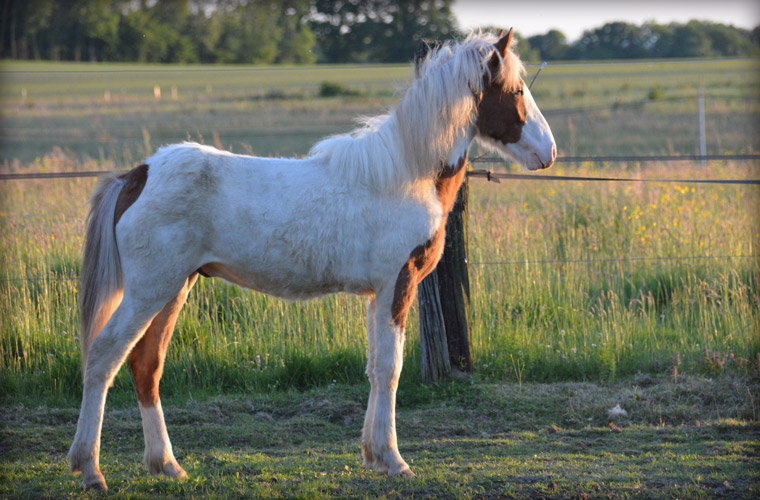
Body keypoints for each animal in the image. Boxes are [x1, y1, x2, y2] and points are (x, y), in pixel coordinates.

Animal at [68, 28, 556, 488]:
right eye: (515, 91)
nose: (548, 152)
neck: (403, 176)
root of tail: (138, 174)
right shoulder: (396, 285)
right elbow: (390, 368)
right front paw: (394, 460)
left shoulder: (378, 294)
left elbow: (375, 369)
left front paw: (373, 455)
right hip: (150, 290)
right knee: (104, 356)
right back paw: (90, 469)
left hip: (174, 288)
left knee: (146, 365)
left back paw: (166, 465)